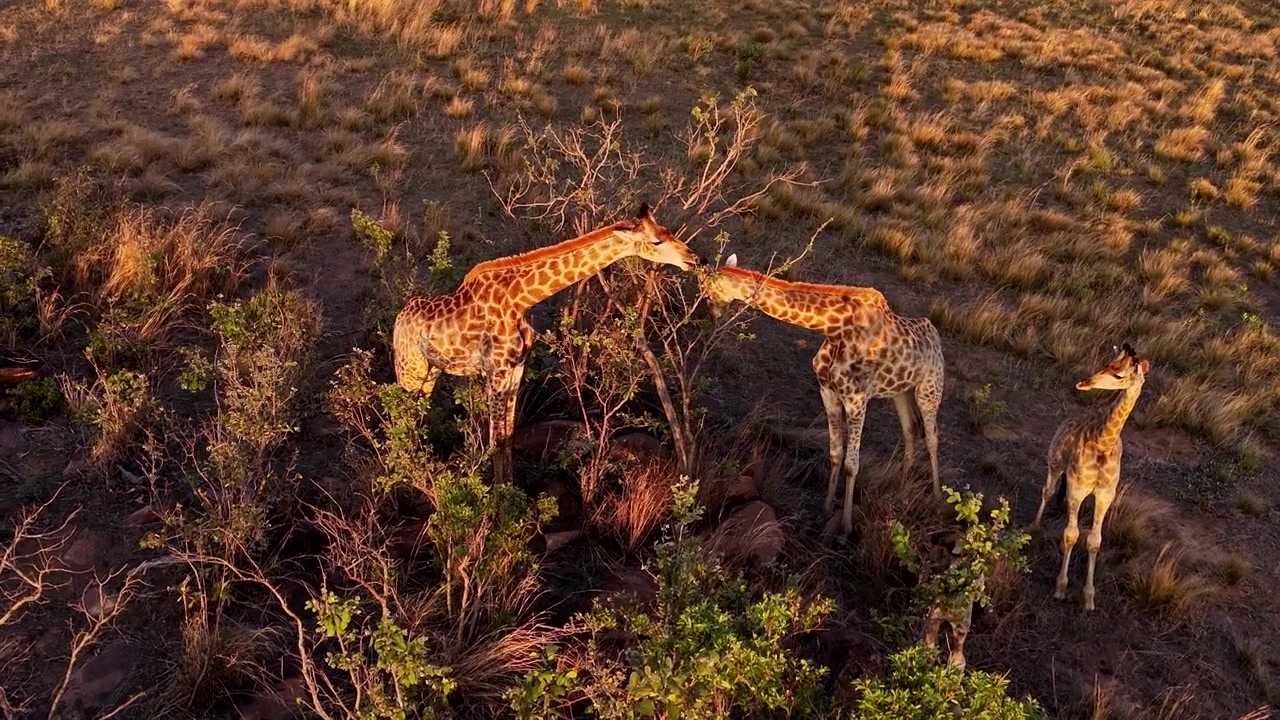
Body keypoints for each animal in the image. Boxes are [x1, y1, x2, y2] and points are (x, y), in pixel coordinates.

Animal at [392, 204, 699, 482]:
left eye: (669, 232)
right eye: (656, 241)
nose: (694, 259)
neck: (520, 301)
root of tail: (399, 320)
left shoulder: (517, 367)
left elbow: (508, 436)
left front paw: (510, 489)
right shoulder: (495, 371)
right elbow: (495, 440)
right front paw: (497, 502)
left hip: (431, 372)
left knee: (417, 414)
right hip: (411, 373)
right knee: (404, 415)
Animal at [701, 254, 945, 537]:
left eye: (707, 291)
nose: (711, 314)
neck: (834, 330)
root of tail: (936, 336)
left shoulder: (857, 398)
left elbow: (852, 464)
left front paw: (845, 527)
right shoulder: (828, 392)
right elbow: (835, 453)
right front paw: (827, 507)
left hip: (929, 390)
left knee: (932, 437)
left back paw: (936, 497)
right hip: (901, 392)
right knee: (909, 431)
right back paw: (902, 488)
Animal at [1031, 343, 1151, 612]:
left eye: (1119, 375)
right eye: (1107, 363)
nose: (1084, 383)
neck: (1103, 444)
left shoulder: (1105, 495)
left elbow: (1094, 540)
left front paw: (1088, 597)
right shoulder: (1076, 488)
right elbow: (1071, 535)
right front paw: (1061, 588)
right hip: (1055, 463)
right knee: (1048, 491)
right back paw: (1034, 526)